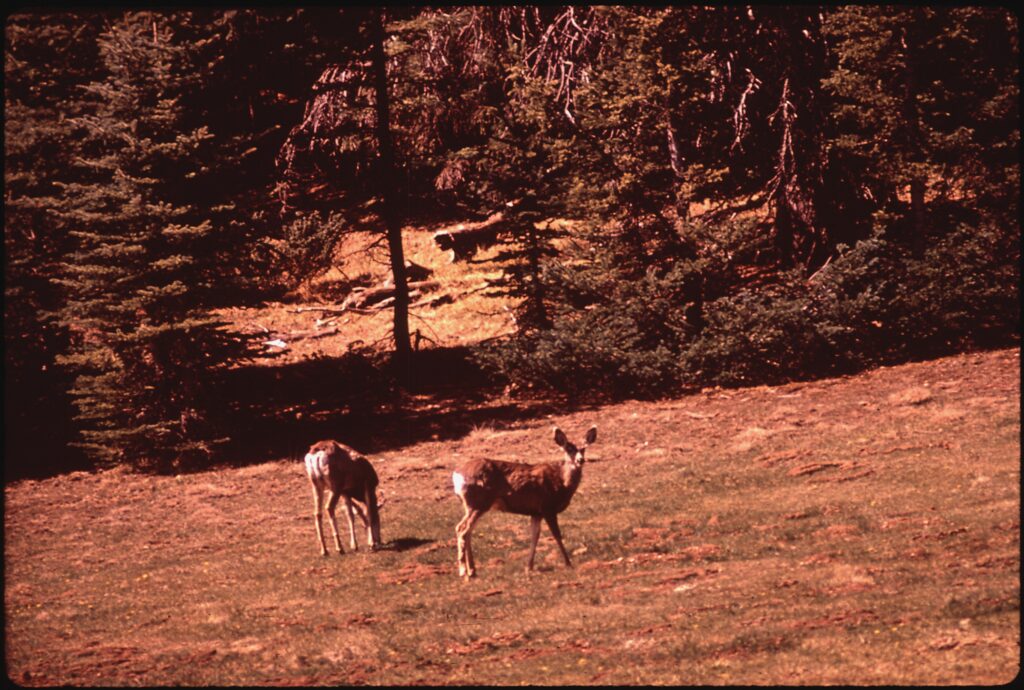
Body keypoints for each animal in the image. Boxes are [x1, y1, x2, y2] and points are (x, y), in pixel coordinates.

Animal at [452, 425, 597, 578]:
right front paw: (568, 563)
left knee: (464, 529)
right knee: (462, 529)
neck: (562, 483)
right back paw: (464, 571)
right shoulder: (548, 507)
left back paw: (472, 570)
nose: (580, 460)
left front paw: (529, 566)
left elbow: (535, 536)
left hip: (474, 505)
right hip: (478, 502)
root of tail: (456, 474)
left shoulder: (536, 513)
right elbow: (556, 535)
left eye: (583, 449)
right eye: (568, 449)